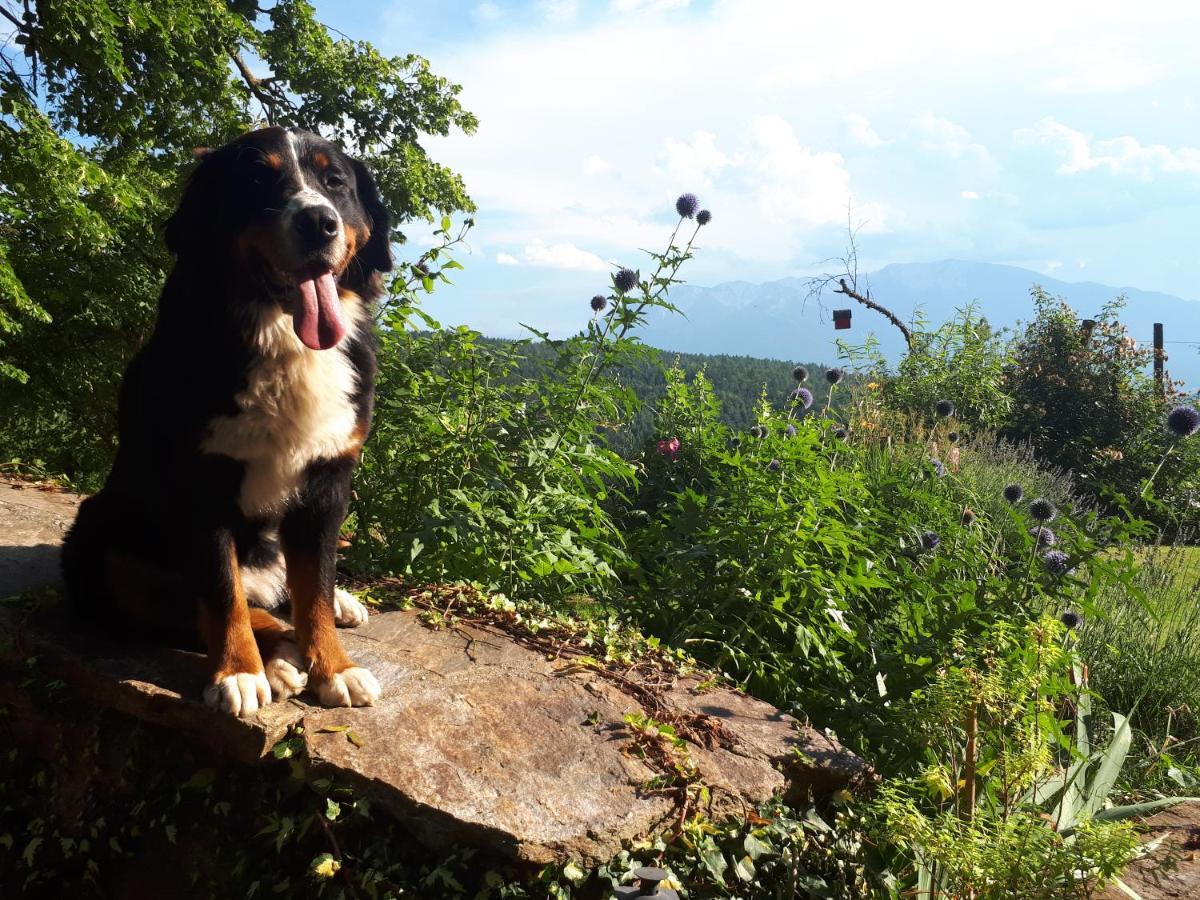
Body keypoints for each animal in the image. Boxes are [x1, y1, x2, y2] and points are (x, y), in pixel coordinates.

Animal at [63, 125, 391, 720]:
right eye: (257, 179)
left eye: (335, 182)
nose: (320, 222)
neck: (282, 336)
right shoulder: (201, 483)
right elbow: (221, 596)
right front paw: (240, 671)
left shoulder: (328, 479)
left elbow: (315, 589)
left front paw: (336, 667)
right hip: (99, 543)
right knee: (188, 609)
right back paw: (277, 661)